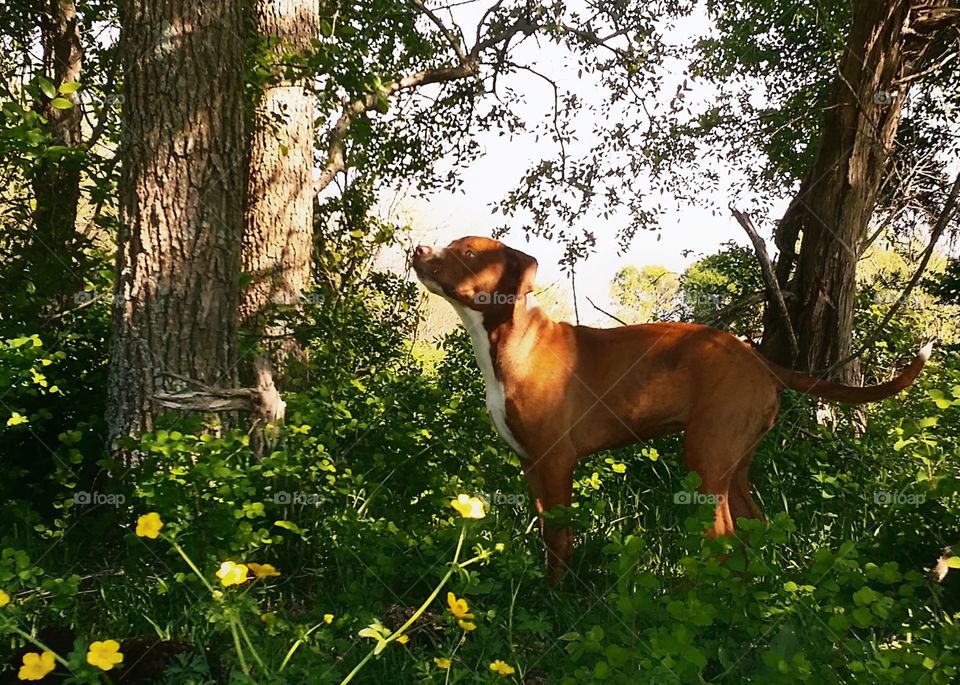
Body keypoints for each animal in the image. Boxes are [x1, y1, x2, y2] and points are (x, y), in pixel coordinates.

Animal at [410, 236, 928, 584]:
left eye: (469, 253)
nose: (418, 249)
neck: (510, 341)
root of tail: (757, 359)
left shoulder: (556, 460)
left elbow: (559, 537)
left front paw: (556, 597)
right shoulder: (531, 464)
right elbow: (546, 534)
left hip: (705, 461)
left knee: (722, 538)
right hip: (733, 464)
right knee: (754, 528)